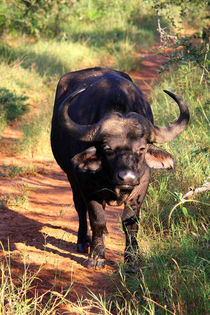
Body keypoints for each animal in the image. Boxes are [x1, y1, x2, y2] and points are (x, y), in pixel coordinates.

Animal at [51, 67, 190, 270]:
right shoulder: (87, 185)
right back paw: (83, 241)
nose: (128, 177)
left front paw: (132, 257)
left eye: (142, 148)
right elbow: (97, 218)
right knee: (80, 207)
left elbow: (130, 222)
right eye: (107, 148)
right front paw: (97, 256)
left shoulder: (142, 184)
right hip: (71, 176)